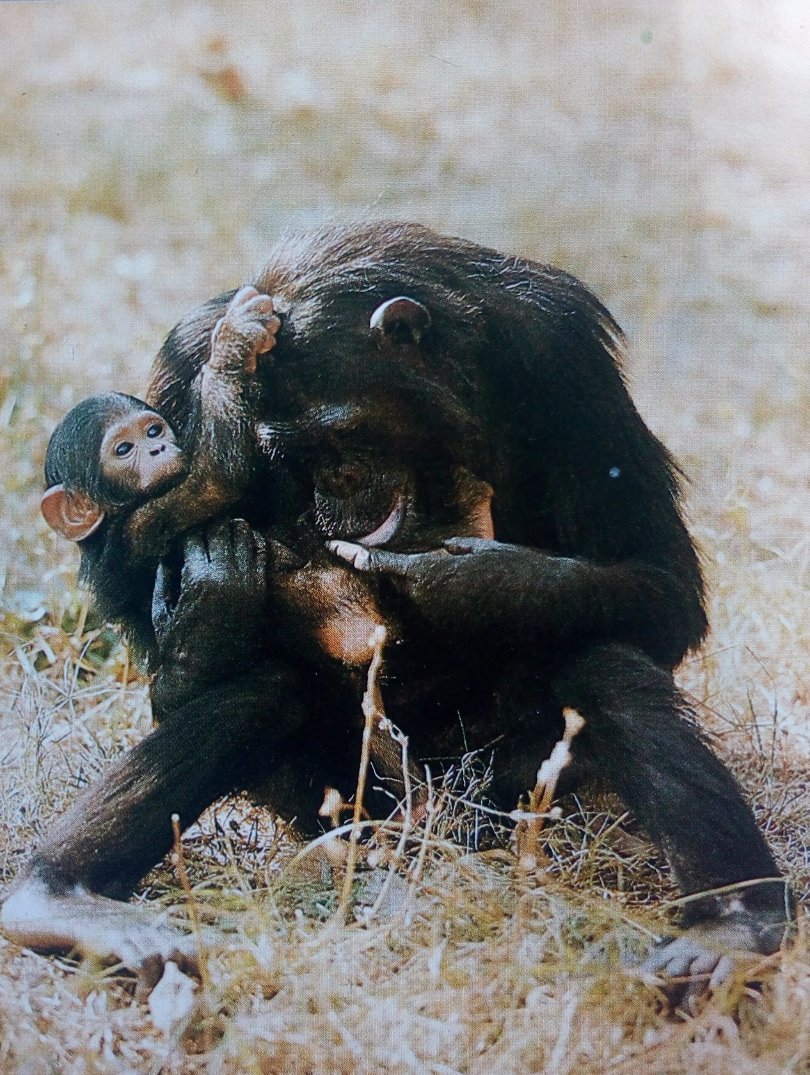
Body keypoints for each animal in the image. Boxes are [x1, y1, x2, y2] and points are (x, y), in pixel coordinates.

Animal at [0, 222, 787, 993]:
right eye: (284, 455)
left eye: (344, 436)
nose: (335, 490)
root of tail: (442, 819)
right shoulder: (177, 372)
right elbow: (151, 589)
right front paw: (211, 601)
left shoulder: (563, 356)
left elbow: (663, 582)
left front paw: (465, 582)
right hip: (354, 805)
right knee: (257, 693)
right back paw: (58, 900)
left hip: (520, 793)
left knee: (607, 667)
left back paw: (734, 927)